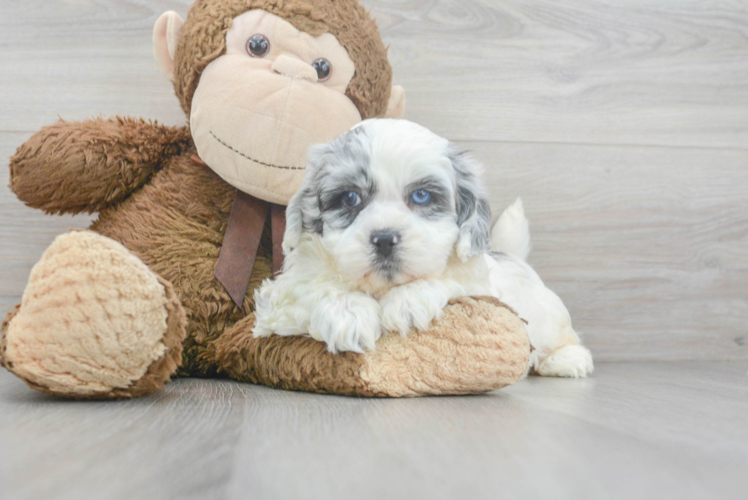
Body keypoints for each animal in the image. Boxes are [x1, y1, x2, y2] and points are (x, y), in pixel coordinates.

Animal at [254, 119, 592, 376]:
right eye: (350, 198)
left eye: (421, 196)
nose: (385, 238)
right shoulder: (278, 296)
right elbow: (314, 287)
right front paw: (347, 314)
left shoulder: (479, 286)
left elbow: (449, 280)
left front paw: (408, 300)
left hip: (546, 315)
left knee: (562, 334)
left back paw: (565, 359)